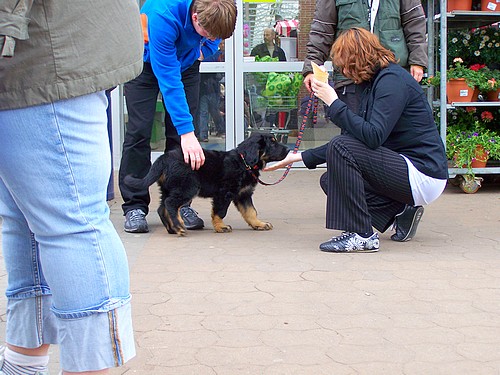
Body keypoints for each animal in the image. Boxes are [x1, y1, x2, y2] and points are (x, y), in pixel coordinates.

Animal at [124, 134, 290, 236]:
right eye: (272, 143)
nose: (288, 149)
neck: (244, 162)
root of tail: (164, 158)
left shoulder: (244, 194)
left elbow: (251, 211)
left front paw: (259, 224)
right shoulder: (224, 193)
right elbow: (220, 212)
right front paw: (220, 227)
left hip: (169, 188)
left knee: (162, 207)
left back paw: (172, 228)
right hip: (187, 187)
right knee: (170, 203)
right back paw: (178, 226)